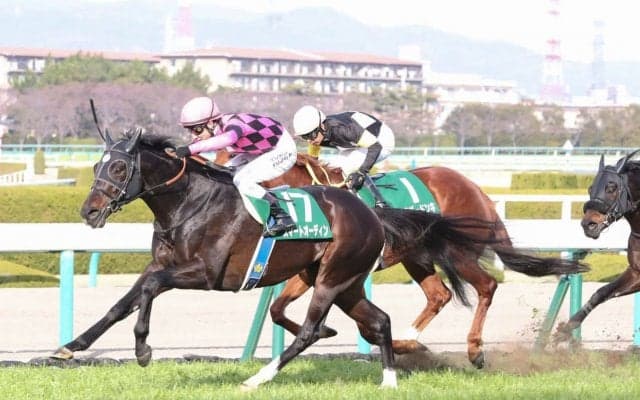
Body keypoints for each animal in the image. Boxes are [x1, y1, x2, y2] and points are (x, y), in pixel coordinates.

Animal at [50, 128, 519, 389]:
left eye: (118, 168)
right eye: (96, 165)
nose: (89, 211)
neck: (189, 202)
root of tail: (371, 214)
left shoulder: (206, 273)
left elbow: (148, 290)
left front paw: (143, 347)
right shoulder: (164, 264)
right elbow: (121, 303)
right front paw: (70, 348)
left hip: (341, 276)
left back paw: (258, 378)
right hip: (351, 280)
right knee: (389, 316)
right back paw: (390, 376)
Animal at [246, 152, 589, 368]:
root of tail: (477, 189)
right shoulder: (313, 270)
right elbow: (277, 309)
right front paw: (330, 332)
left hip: (457, 251)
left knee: (486, 286)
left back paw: (474, 349)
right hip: (416, 256)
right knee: (440, 295)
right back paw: (410, 342)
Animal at [554, 150, 640, 343]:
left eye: (611, 188)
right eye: (590, 188)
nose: (588, 224)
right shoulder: (636, 272)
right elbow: (602, 292)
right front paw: (565, 329)